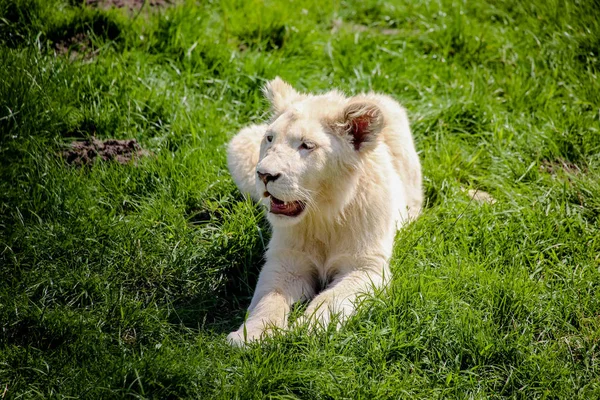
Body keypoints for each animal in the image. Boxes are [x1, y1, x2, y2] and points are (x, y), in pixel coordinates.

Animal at [225, 77, 422, 344]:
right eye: (270, 138)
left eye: (306, 145)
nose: (264, 174)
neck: (322, 215)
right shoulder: (287, 261)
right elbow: (269, 298)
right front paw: (251, 336)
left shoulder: (365, 267)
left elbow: (330, 299)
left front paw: (307, 329)